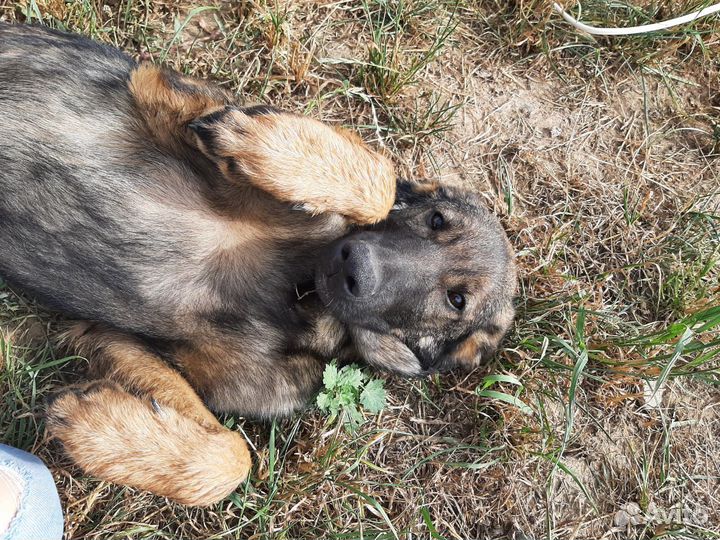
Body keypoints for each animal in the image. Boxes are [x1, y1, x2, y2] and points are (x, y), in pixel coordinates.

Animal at [0, 23, 516, 504]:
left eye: (456, 300)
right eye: (436, 219)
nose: (355, 264)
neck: (298, 291)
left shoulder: (118, 341)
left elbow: (232, 458)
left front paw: (95, 428)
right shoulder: (166, 93)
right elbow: (381, 183)